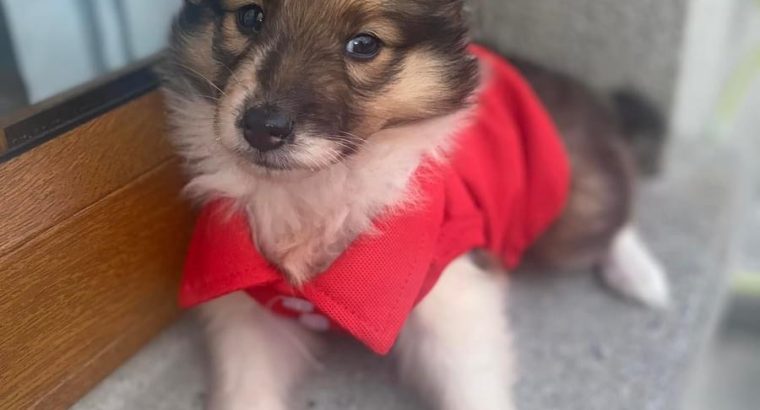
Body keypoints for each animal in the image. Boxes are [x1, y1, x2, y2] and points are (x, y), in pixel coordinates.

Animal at [163, 1, 668, 408]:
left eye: (364, 44)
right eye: (251, 16)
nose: (262, 128)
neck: (316, 186)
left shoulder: (454, 296)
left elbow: (473, 385)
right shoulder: (248, 310)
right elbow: (246, 386)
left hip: (571, 211)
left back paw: (644, 278)